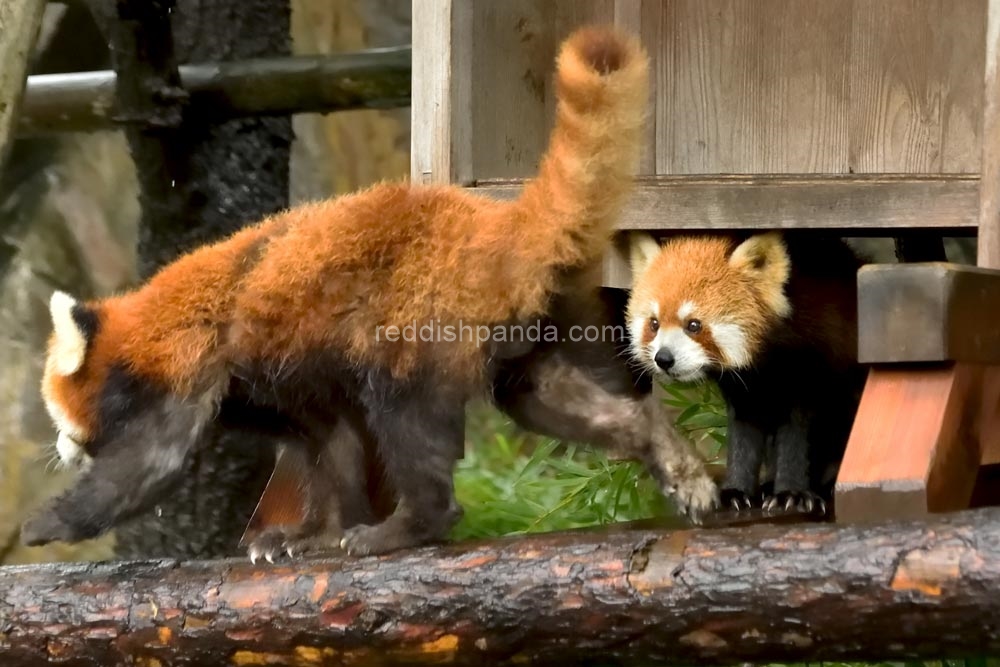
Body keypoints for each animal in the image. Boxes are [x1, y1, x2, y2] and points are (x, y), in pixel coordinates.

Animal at [21, 27, 720, 560]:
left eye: (57, 411)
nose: (59, 447)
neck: (142, 326)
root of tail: (494, 224)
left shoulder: (185, 364)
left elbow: (151, 461)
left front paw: (50, 521)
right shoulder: (285, 390)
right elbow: (328, 448)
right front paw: (304, 535)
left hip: (419, 325)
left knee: (408, 421)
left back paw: (409, 525)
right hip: (525, 331)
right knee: (552, 401)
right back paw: (668, 455)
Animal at [624, 232, 868, 516]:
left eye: (693, 325)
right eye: (654, 324)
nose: (663, 358)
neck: (765, 363)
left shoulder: (814, 363)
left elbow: (799, 436)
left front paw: (792, 494)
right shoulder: (742, 387)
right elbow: (744, 436)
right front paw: (735, 491)